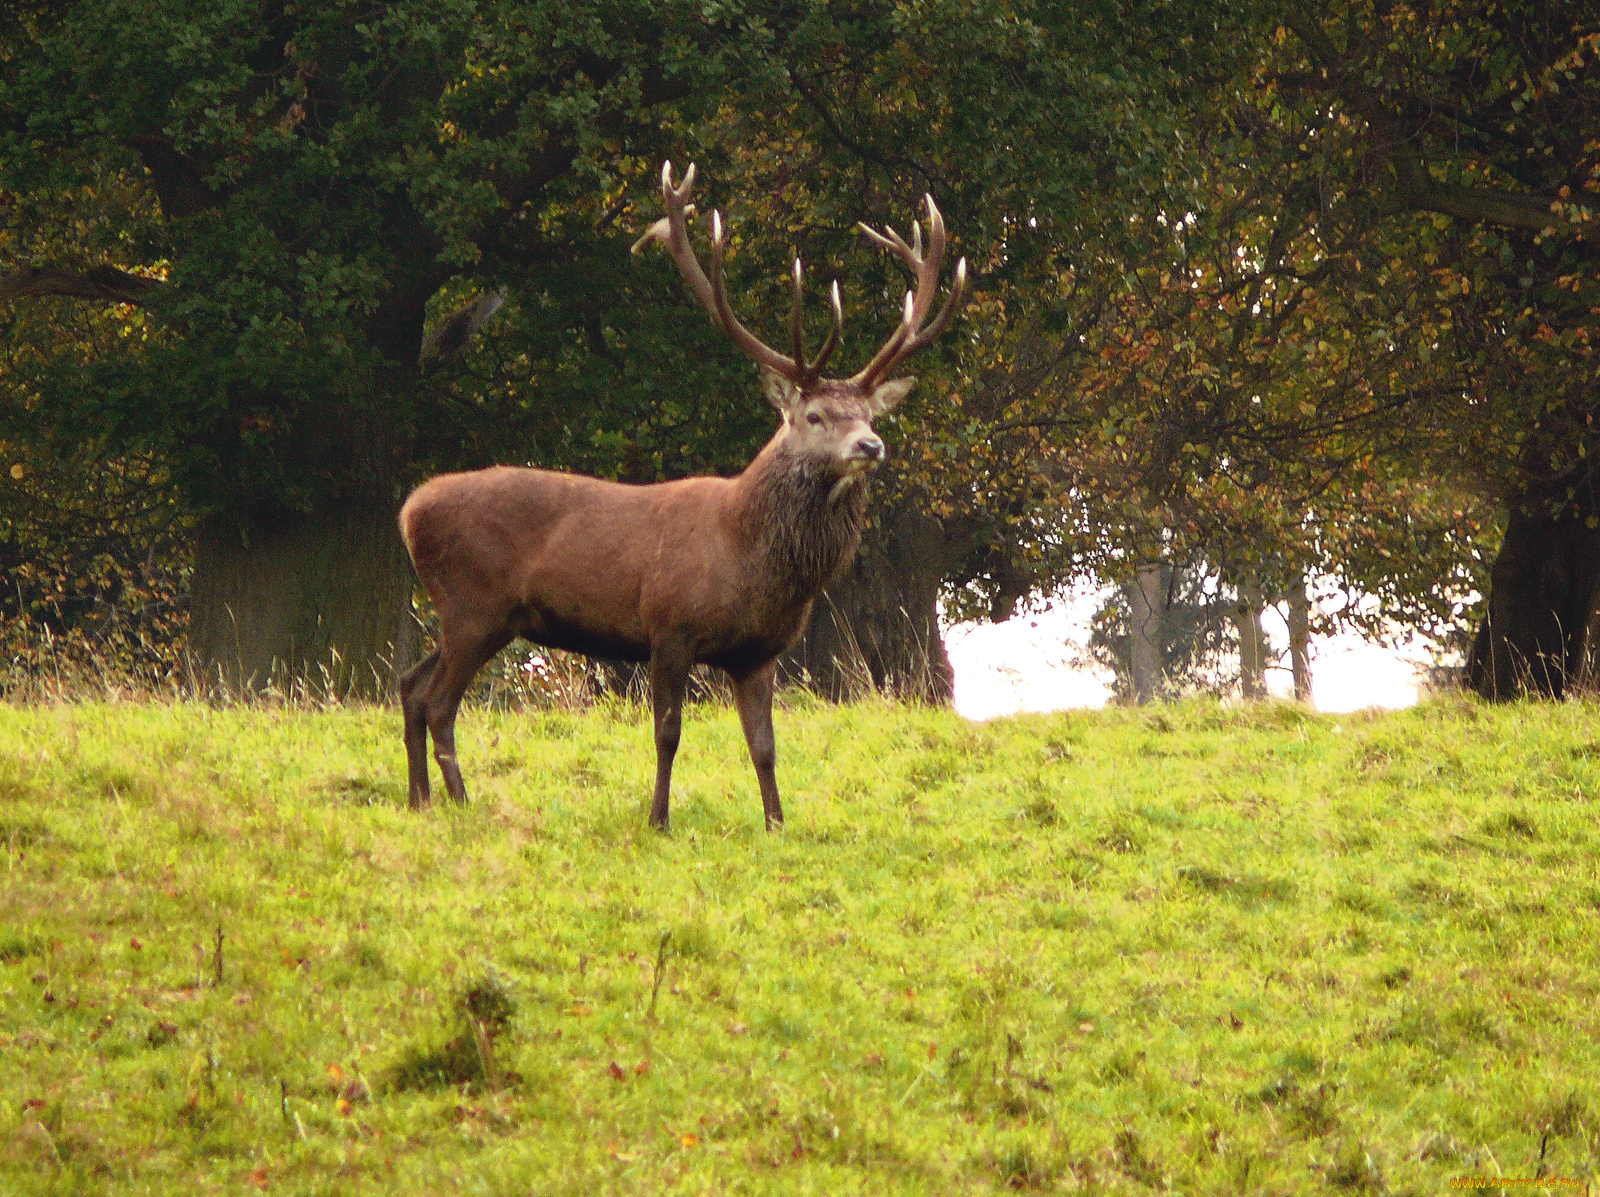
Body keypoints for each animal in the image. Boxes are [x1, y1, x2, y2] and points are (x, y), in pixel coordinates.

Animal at [396, 159, 960, 825]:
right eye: (815, 415)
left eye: (872, 415)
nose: (870, 446)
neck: (750, 560)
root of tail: (408, 511)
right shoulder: (668, 627)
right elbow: (668, 732)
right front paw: (658, 819)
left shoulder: (759, 652)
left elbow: (764, 745)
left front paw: (776, 823)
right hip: (472, 602)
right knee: (438, 703)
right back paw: (460, 803)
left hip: (481, 615)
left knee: (410, 687)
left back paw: (419, 801)